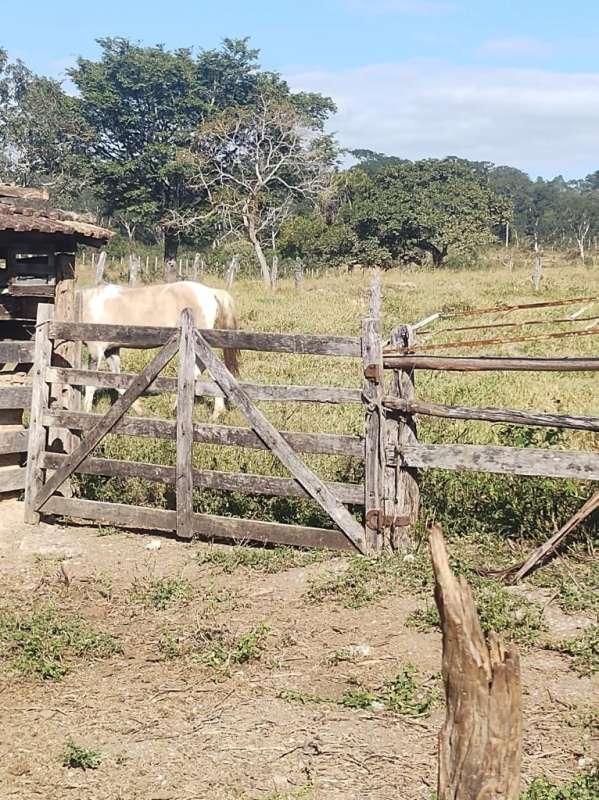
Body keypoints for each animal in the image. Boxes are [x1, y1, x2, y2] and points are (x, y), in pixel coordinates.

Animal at [79, 282, 239, 418]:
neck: (88, 304)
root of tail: (210, 292)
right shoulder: (111, 351)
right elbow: (117, 380)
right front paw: (138, 409)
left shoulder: (96, 350)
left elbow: (90, 383)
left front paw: (85, 413)